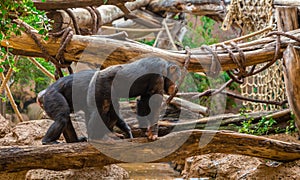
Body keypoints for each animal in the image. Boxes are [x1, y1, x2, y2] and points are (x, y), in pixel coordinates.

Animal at [38, 57, 180, 144]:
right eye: (176, 77)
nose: (175, 85)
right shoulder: (158, 73)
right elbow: (154, 103)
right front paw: (153, 133)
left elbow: (145, 102)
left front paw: (145, 131)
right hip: (98, 86)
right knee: (100, 109)